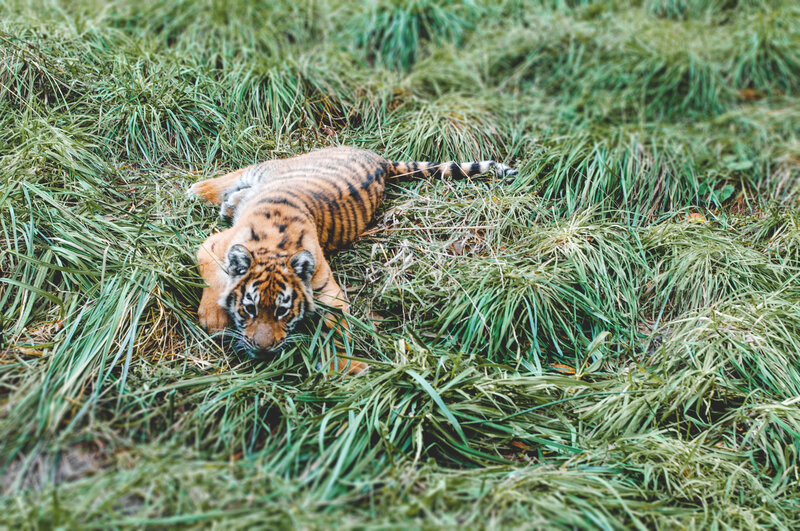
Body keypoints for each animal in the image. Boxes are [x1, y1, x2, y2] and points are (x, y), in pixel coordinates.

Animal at [188, 146, 516, 372]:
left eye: (282, 311)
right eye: (249, 309)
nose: (264, 350)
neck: (274, 248)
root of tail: (380, 160)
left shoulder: (326, 289)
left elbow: (338, 328)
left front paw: (345, 366)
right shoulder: (212, 245)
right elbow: (214, 274)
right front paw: (213, 319)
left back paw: (228, 203)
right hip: (274, 168)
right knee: (241, 172)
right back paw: (201, 190)